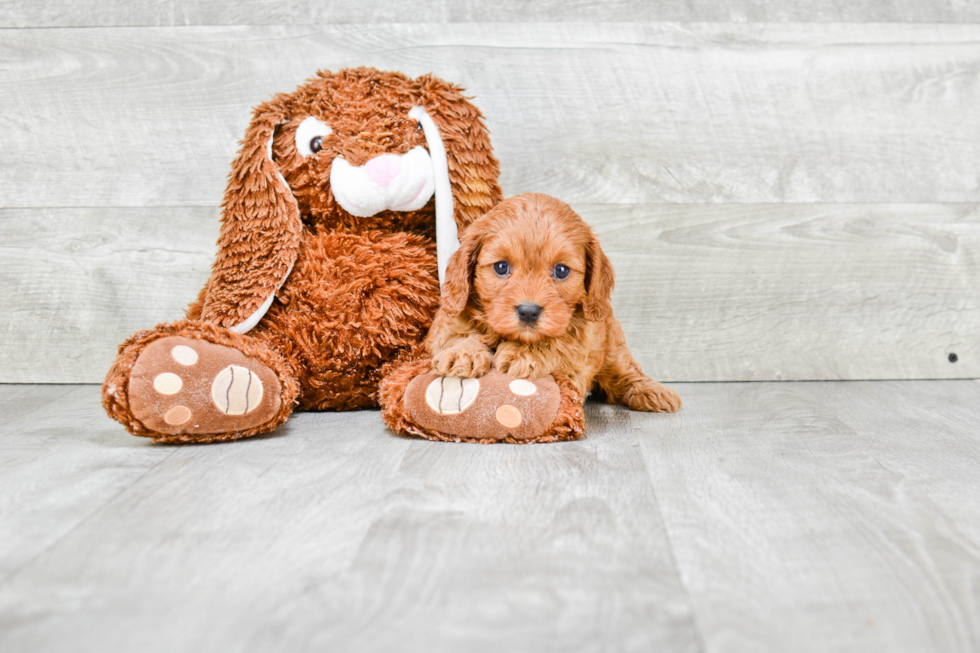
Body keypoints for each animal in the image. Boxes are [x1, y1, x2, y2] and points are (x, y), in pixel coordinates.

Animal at [428, 191, 680, 412]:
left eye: (561, 270)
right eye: (501, 267)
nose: (528, 311)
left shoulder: (583, 341)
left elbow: (560, 343)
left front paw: (524, 354)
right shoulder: (445, 325)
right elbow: (458, 337)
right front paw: (462, 353)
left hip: (612, 343)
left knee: (626, 370)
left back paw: (651, 391)